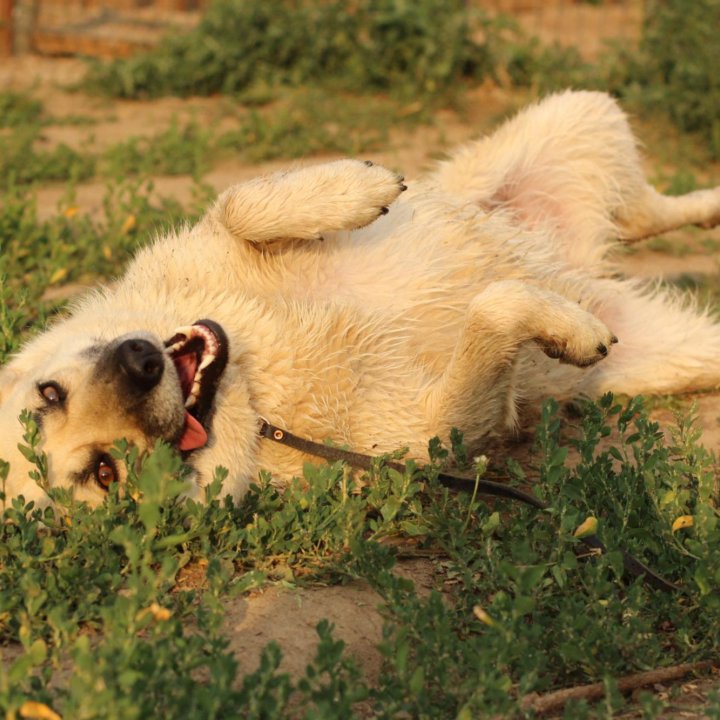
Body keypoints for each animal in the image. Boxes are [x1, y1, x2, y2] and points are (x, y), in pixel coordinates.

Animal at [1, 91, 720, 506]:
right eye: (105, 473)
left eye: (49, 394)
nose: (141, 364)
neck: (258, 381)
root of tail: (588, 265)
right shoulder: (438, 427)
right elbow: (492, 312)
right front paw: (564, 327)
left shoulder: (208, 239)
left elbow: (242, 203)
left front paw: (358, 186)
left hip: (578, 114)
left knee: (644, 211)